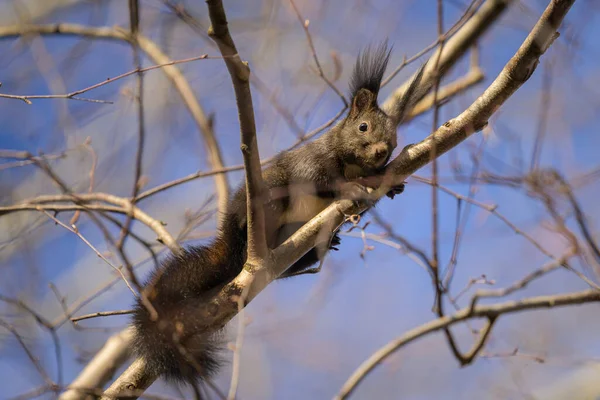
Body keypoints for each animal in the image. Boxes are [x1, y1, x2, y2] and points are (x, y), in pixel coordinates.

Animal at [130, 41, 426, 388]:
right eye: (362, 127)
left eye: (393, 140)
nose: (381, 152)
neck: (352, 162)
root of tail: (235, 250)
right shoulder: (311, 164)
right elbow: (323, 181)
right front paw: (353, 186)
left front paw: (389, 185)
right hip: (267, 196)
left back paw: (323, 247)